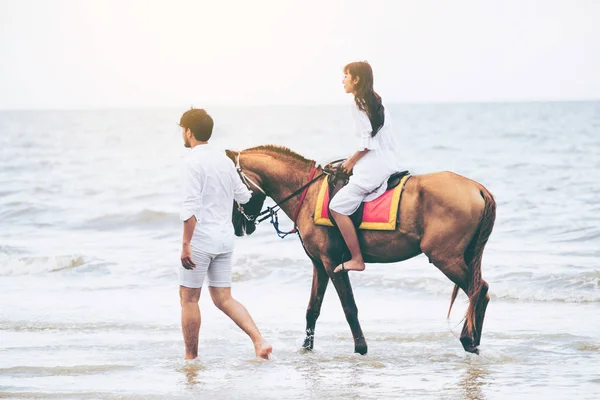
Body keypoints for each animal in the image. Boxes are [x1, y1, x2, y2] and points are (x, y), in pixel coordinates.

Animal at [226, 145, 496, 354]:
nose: (238, 226)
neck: (308, 192)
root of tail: (476, 188)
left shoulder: (332, 263)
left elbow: (349, 308)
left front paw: (360, 348)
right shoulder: (319, 265)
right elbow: (313, 309)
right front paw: (306, 348)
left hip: (444, 258)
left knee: (479, 290)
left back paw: (468, 340)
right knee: (479, 293)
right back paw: (473, 340)